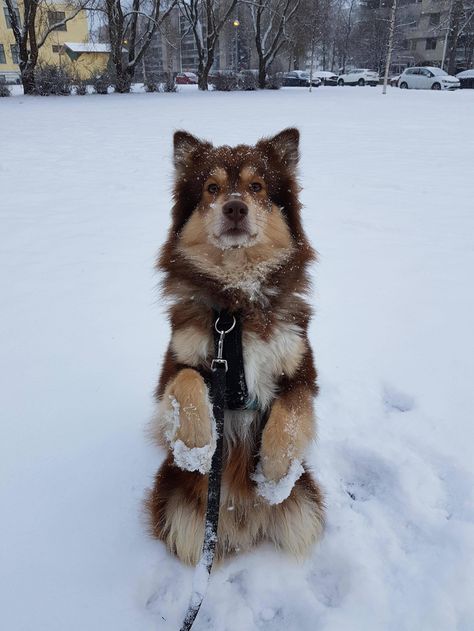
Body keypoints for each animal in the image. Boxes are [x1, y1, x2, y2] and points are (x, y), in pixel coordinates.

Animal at [147, 126, 326, 564]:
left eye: (257, 186)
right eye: (211, 188)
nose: (234, 208)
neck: (237, 307)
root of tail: (240, 525)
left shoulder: (303, 371)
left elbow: (292, 410)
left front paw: (275, 471)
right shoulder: (174, 366)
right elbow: (188, 382)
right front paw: (197, 444)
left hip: (308, 506)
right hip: (172, 505)